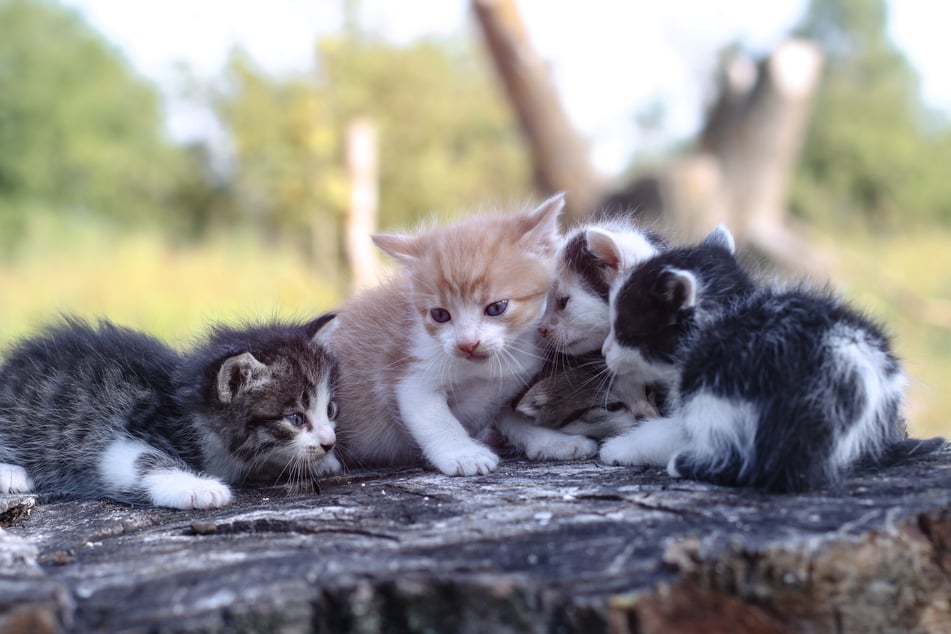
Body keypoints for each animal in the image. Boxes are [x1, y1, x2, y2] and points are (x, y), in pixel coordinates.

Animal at [0, 314, 340, 508]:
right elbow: (142, 461)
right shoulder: (125, 431)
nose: (329, 442)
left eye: (331, 409)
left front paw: (321, 462)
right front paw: (199, 487)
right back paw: (12, 474)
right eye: (295, 418)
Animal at [330, 195, 600, 476]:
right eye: (440, 314)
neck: (488, 367)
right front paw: (464, 454)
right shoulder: (407, 373)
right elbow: (435, 418)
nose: (467, 344)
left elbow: (515, 416)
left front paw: (553, 441)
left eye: (496, 307)